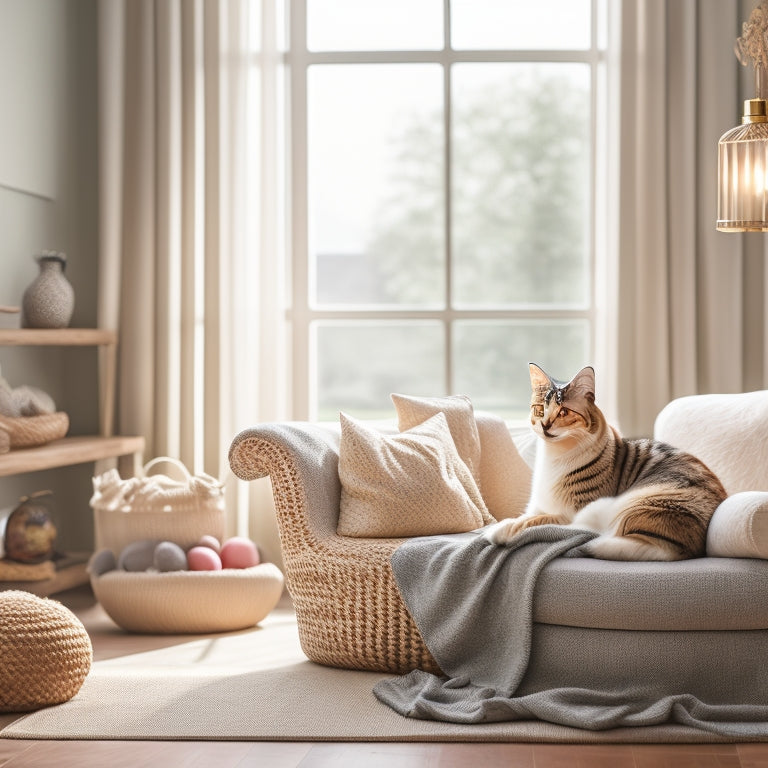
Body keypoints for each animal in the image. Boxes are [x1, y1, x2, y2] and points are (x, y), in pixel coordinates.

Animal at [486, 364, 728, 560]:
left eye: (563, 412)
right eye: (539, 409)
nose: (545, 425)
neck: (553, 456)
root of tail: (683, 550)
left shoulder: (569, 512)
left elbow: (534, 520)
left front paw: (499, 529)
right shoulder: (537, 505)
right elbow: (531, 516)